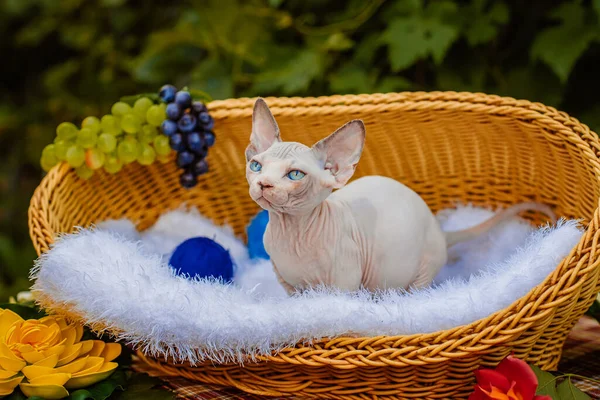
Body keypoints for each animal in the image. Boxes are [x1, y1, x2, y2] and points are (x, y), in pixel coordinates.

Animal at [245, 98, 556, 296]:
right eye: (256, 166)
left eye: (295, 175)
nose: (263, 184)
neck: (293, 235)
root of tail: (439, 229)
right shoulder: (288, 284)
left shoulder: (342, 285)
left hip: (420, 270)